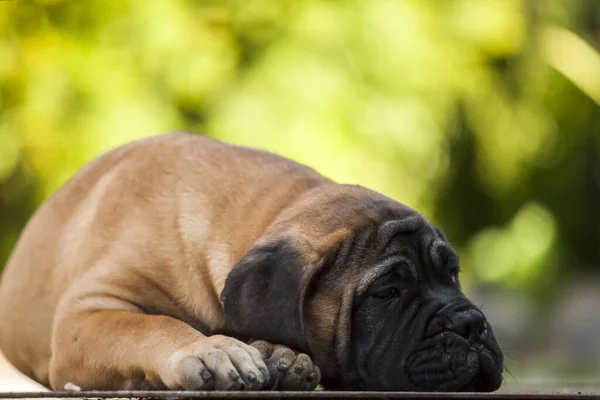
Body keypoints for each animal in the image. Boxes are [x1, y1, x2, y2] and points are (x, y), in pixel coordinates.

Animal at [0, 134, 506, 390]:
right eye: (388, 292)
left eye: (453, 274)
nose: (471, 324)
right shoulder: (86, 312)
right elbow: (150, 325)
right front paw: (211, 349)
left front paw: (278, 355)